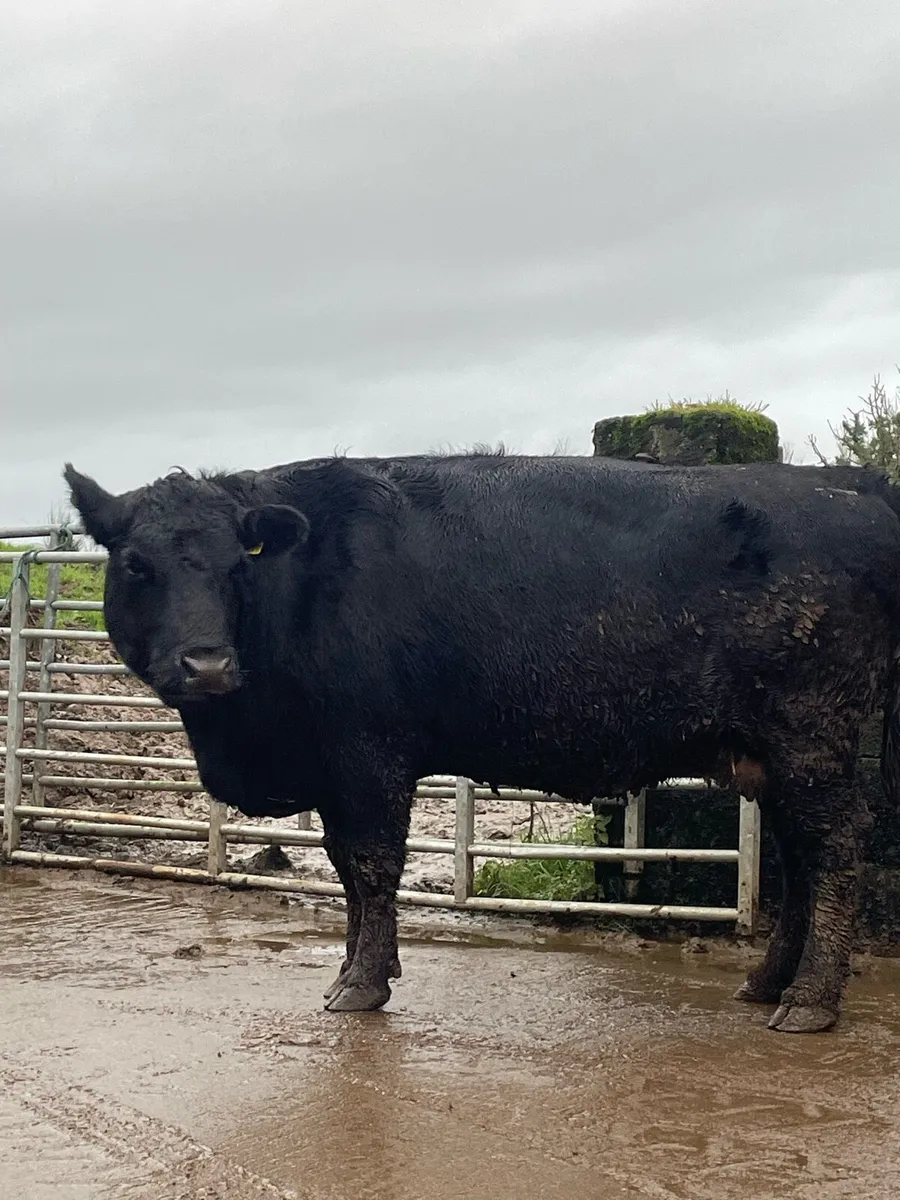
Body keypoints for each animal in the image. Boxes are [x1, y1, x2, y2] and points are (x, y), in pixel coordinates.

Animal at [63, 452, 900, 1033]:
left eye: (238, 565)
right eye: (135, 564)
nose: (207, 663)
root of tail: (852, 484)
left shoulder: (369, 756)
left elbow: (372, 866)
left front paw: (361, 984)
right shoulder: (335, 771)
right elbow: (344, 869)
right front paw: (352, 967)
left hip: (810, 735)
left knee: (835, 848)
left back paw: (809, 1001)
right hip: (776, 755)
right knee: (800, 856)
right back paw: (767, 982)